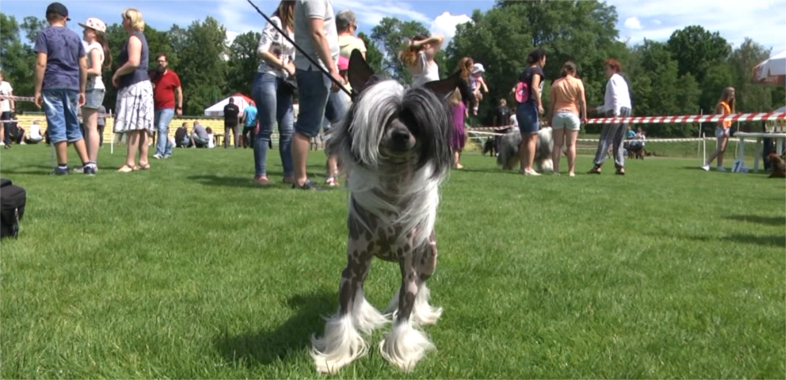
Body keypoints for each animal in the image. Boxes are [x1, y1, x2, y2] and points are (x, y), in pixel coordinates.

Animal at [310, 48, 460, 374]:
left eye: (415, 120)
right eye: (386, 117)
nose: (401, 135)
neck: (392, 185)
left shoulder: (410, 270)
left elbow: (405, 312)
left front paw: (401, 354)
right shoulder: (353, 264)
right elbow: (344, 311)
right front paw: (335, 356)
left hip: (429, 257)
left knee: (421, 290)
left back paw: (422, 314)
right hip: (364, 262)